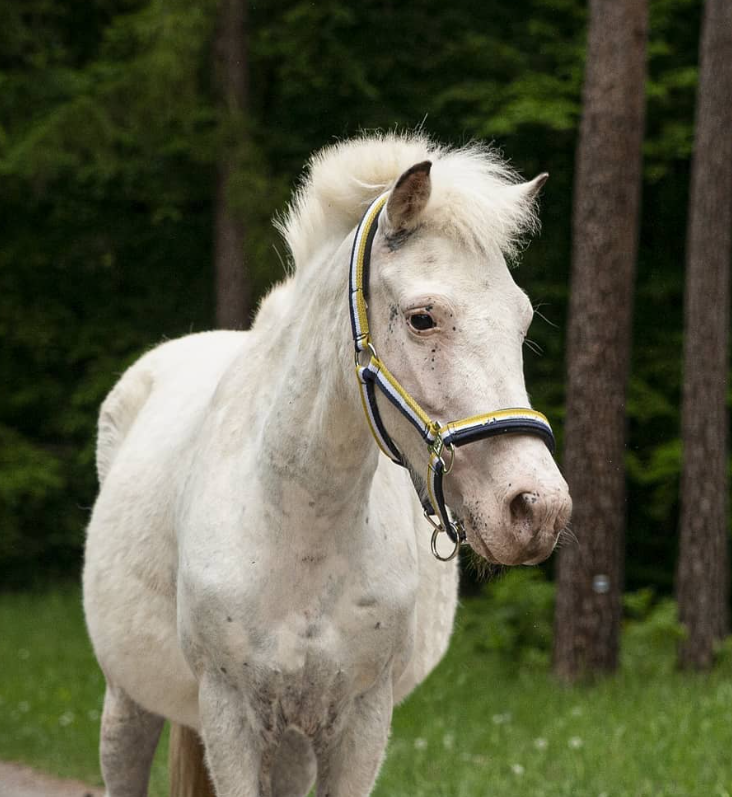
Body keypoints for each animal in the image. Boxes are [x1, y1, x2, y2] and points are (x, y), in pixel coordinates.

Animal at [83, 132, 572, 797]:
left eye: (521, 320)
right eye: (422, 318)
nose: (537, 509)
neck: (301, 523)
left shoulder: (361, 720)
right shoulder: (229, 716)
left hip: (291, 742)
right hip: (128, 699)